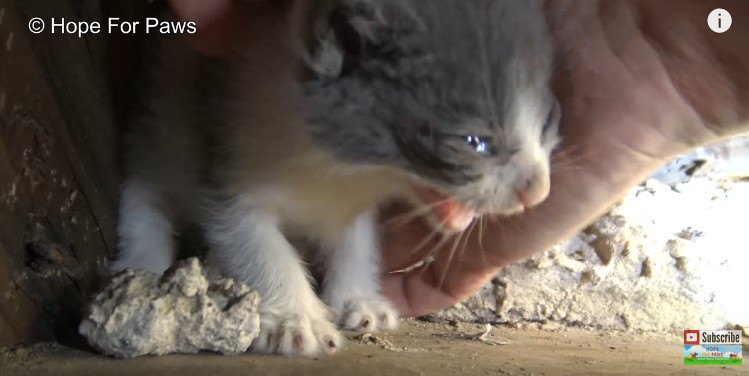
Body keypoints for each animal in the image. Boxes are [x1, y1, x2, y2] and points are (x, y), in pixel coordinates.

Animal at [114, 0, 560, 356]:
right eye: (474, 141)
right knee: (145, 186)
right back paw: (144, 263)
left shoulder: (354, 203)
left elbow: (356, 240)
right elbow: (253, 240)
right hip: (164, 114)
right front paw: (296, 318)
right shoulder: (224, 151)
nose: (539, 189)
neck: (332, 168)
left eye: (546, 121)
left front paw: (356, 300)